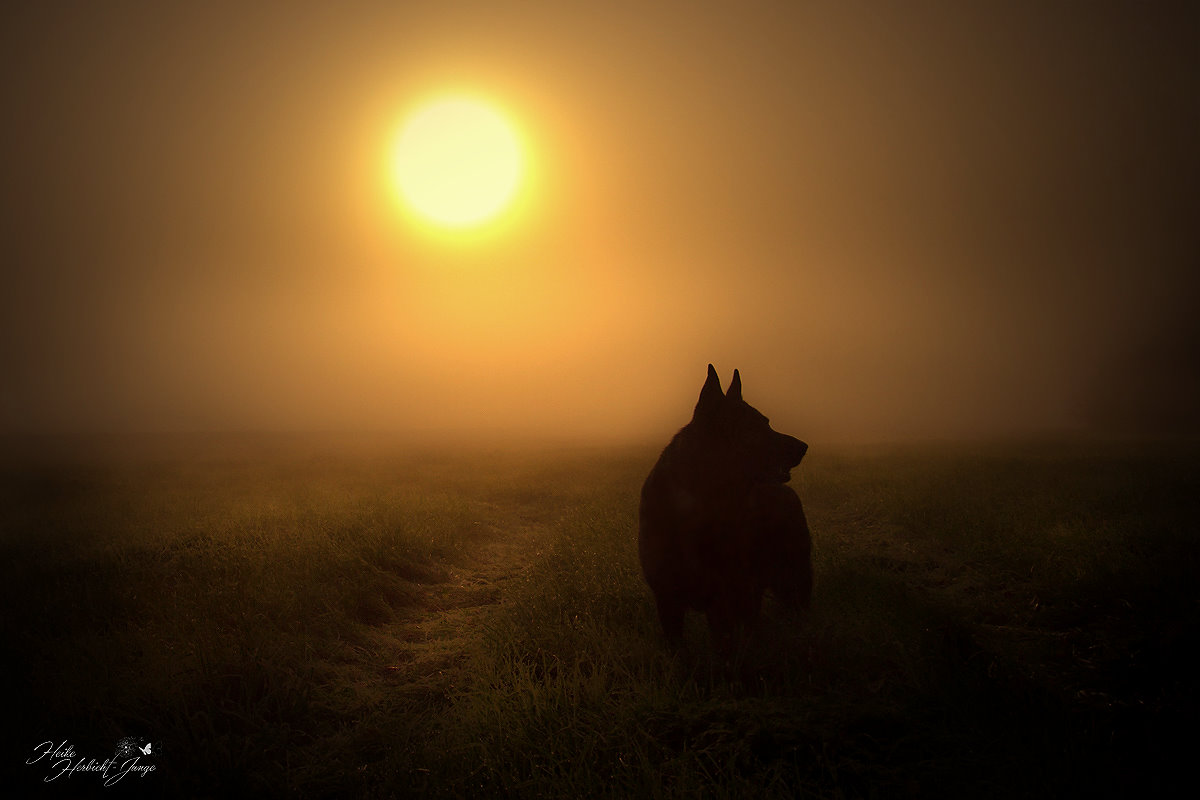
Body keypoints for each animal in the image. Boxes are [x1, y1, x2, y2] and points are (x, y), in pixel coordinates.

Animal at [638, 364, 806, 652]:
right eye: (755, 426)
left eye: (768, 422)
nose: (804, 447)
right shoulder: (668, 599)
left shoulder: (722, 599)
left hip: (790, 581)